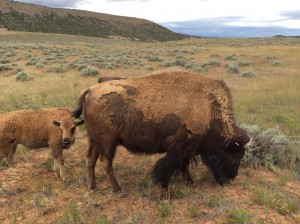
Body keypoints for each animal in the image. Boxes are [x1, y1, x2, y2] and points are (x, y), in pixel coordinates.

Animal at [72, 70, 251, 198]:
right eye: (235, 153)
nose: (233, 176)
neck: (209, 108)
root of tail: (89, 91)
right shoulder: (180, 146)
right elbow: (168, 168)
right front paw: (165, 193)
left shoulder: (188, 148)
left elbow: (184, 165)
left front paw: (189, 182)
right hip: (108, 142)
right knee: (106, 162)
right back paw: (118, 190)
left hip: (95, 140)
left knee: (91, 158)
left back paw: (93, 187)